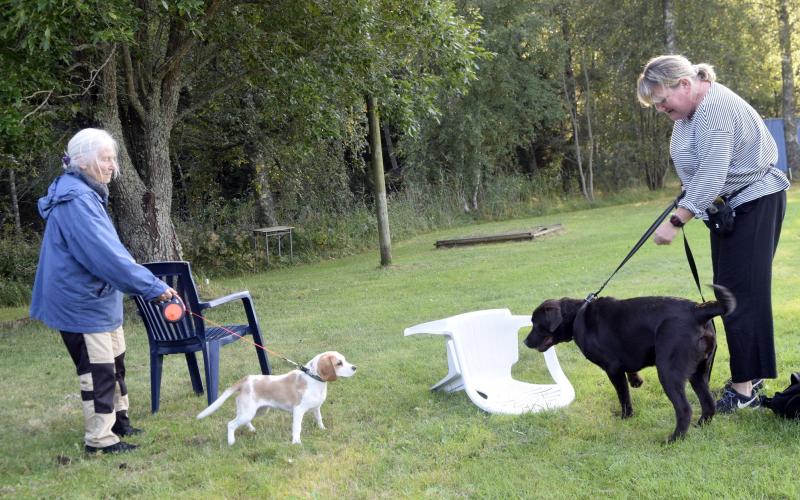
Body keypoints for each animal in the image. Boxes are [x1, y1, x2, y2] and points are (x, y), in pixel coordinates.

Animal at [197, 352, 356, 446]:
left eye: (345, 360)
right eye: (339, 363)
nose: (355, 367)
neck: (313, 378)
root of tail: (245, 380)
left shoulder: (316, 408)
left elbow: (319, 419)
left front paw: (322, 430)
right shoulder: (298, 411)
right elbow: (297, 427)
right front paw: (296, 442)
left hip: (257, 411)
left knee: (242, 421)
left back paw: (252, 430)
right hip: (248, 412)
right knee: (231, 424)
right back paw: (231, 442)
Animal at [524, 286, 736, 442]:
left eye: (536, 322)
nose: (525, 342)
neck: (577, 315)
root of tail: (698, 311)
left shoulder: (612, 369)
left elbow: (623, 396)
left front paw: (626, 416)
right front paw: (636, 380)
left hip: (669, 372)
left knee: (684, 409)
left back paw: (674, 439)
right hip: (699, 372)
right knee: (708, 403)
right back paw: (700, 426)